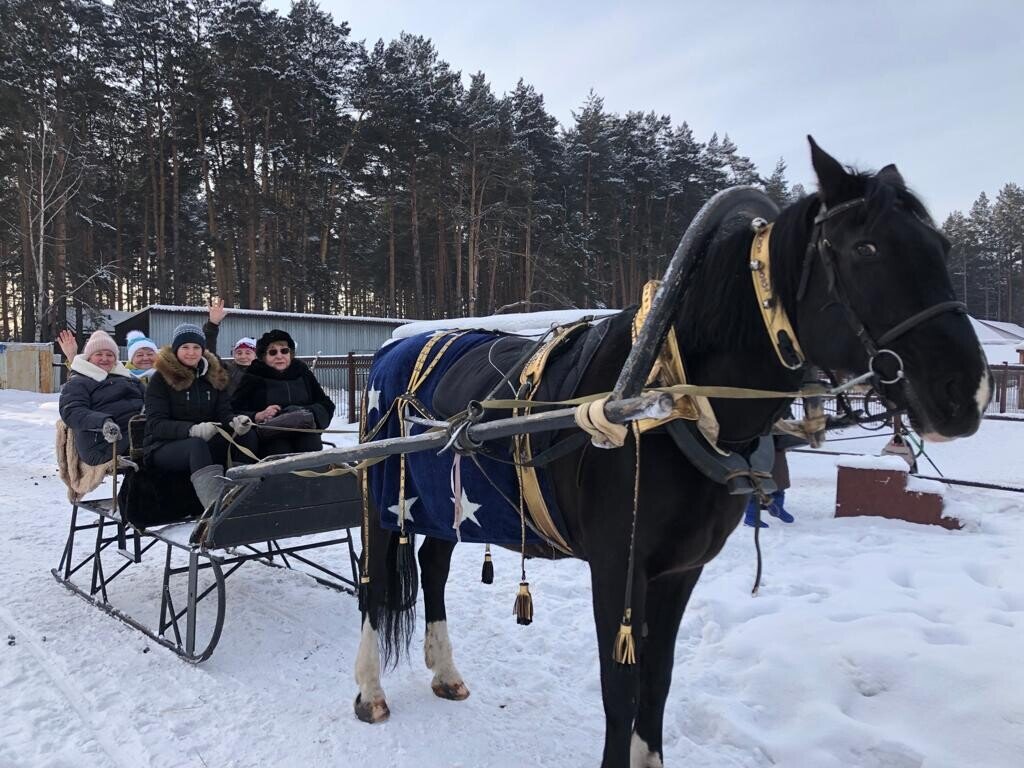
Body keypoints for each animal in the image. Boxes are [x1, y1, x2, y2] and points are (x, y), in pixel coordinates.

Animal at [352, 140, 991, 768]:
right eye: (866, 247)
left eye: (942, 247)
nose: (966, 391)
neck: (665, 402)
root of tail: (391, 351)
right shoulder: (618, 568)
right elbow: (621, 689)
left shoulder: (680, 571)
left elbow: (657, 683)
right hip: (387, 502)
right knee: (375, 587)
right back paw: (370, 691)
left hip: (444, 505)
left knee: (432, 567)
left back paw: (446, 672)